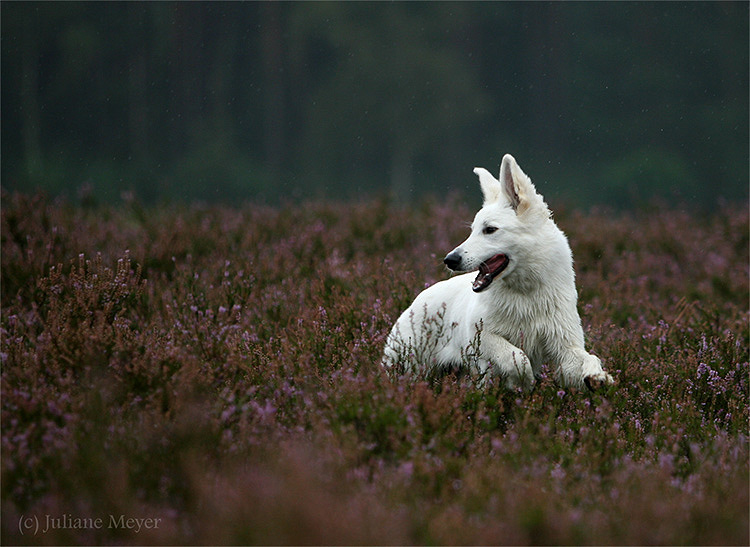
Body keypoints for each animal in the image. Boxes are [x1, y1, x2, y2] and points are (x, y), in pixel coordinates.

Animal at [384, 156, 612, 392]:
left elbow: (590, 357)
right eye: (473, 230)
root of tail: (416, 301)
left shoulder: (565, 346)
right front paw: (521, 382)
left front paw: (598, 376)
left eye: (490, 230)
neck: (526, 294)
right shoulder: (481, 335)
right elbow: (518, 357)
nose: (450, 260)